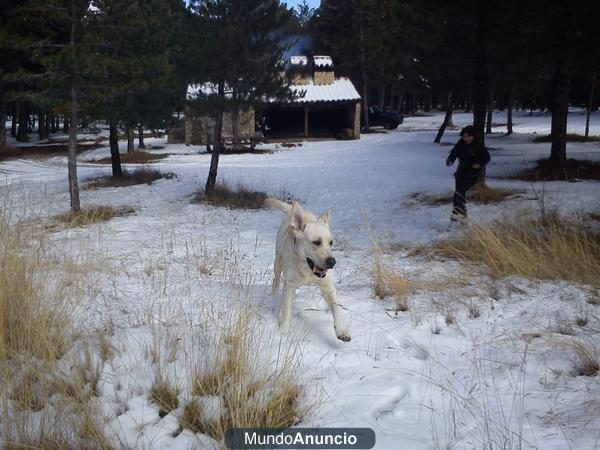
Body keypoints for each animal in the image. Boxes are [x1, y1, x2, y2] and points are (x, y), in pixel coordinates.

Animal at [264, 197, 350, 342]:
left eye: (331, 242)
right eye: (316, 242)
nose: (332, 262)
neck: (308, 271)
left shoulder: (328, 287)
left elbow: (337, 308)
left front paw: (341, 330)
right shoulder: (290, 284)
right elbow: (287, 311)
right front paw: (283, 333)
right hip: (278, 262)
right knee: (276, 280)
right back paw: (274, 296)